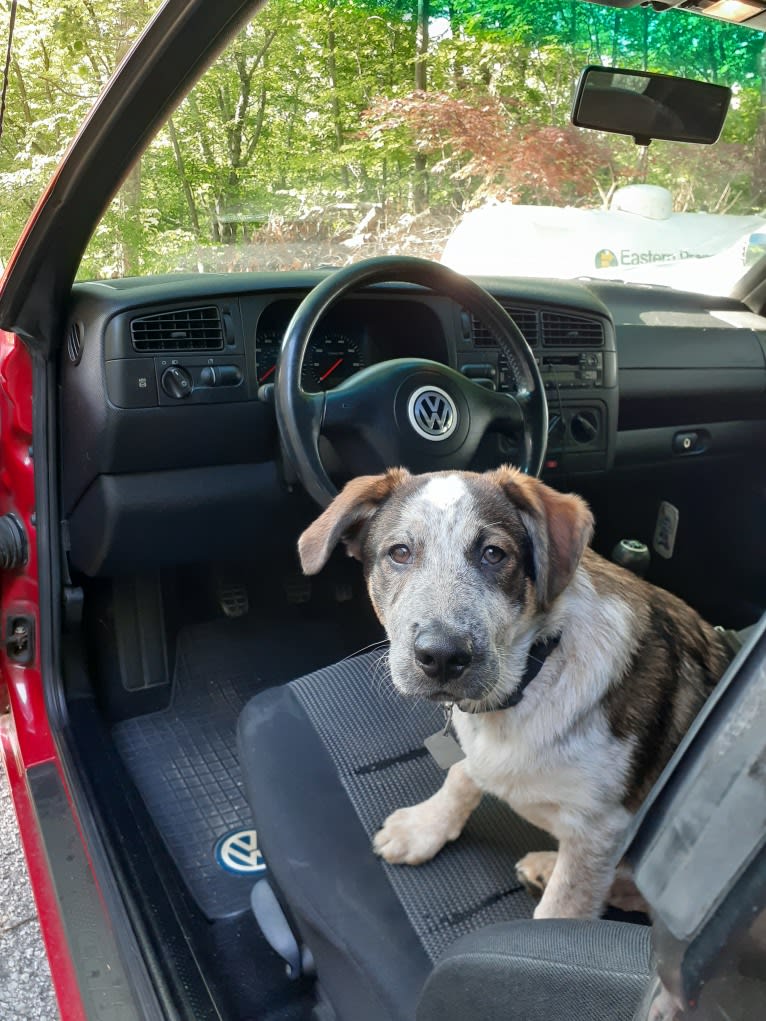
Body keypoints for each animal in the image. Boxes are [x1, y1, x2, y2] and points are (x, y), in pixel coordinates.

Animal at [296, 467, 731, 922]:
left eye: (493, 554)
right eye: (399, 552)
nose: (442, 656)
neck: (530, 678)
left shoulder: (600, 829)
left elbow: (561, 911)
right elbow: (462, 773)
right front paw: (423, 827)